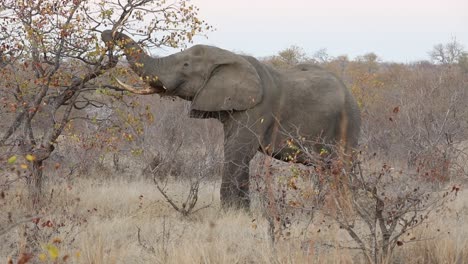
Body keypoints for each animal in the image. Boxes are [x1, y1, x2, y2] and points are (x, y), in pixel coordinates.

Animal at [100, 29, 360, 209]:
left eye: (186, 65)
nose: (106, 34)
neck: (230, 56)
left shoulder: (257, 108)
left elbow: (238, 150)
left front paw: (230, 213)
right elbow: (233, 148)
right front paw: (241, 213)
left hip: (348, 124)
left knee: (341, 169)